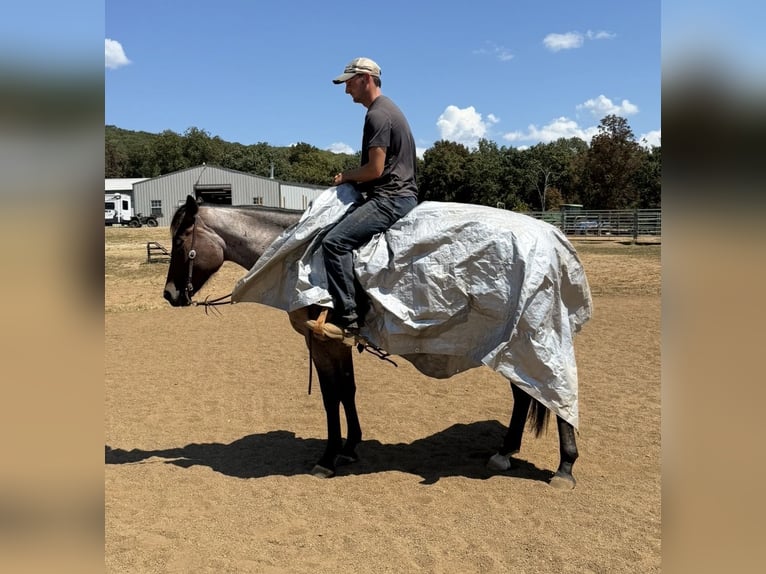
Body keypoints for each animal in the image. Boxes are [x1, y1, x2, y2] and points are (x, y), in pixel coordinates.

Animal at [163, 194, 585, 489]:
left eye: (181, 240)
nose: (169, 294)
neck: (299, 256)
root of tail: (553, 237)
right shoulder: (336, 343)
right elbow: (347, 390)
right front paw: (350, 448)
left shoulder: (323, 343)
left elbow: (331, 396)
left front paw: (328, 457)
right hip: (511, 343)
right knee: (525, 394)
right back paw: (504, 452)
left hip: (535, 336)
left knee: (556, 393)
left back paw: (564, 467)